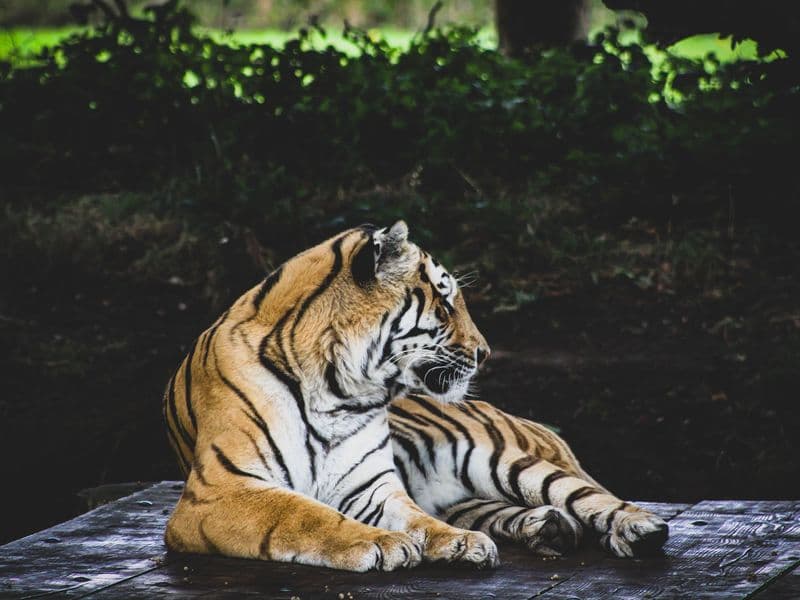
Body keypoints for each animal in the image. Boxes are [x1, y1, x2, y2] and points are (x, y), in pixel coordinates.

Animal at [163, 221, 668, 572]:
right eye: (445, 303)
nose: (485, 352)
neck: (337, 388)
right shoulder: (220, 490)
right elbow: (302, 514)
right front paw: (380, 543)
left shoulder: (370, 486)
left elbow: (416, 519)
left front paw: (449, 542)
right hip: (467, 494)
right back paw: (548, 528)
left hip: (502, 460)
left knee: (589, 496)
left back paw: (639, 529)